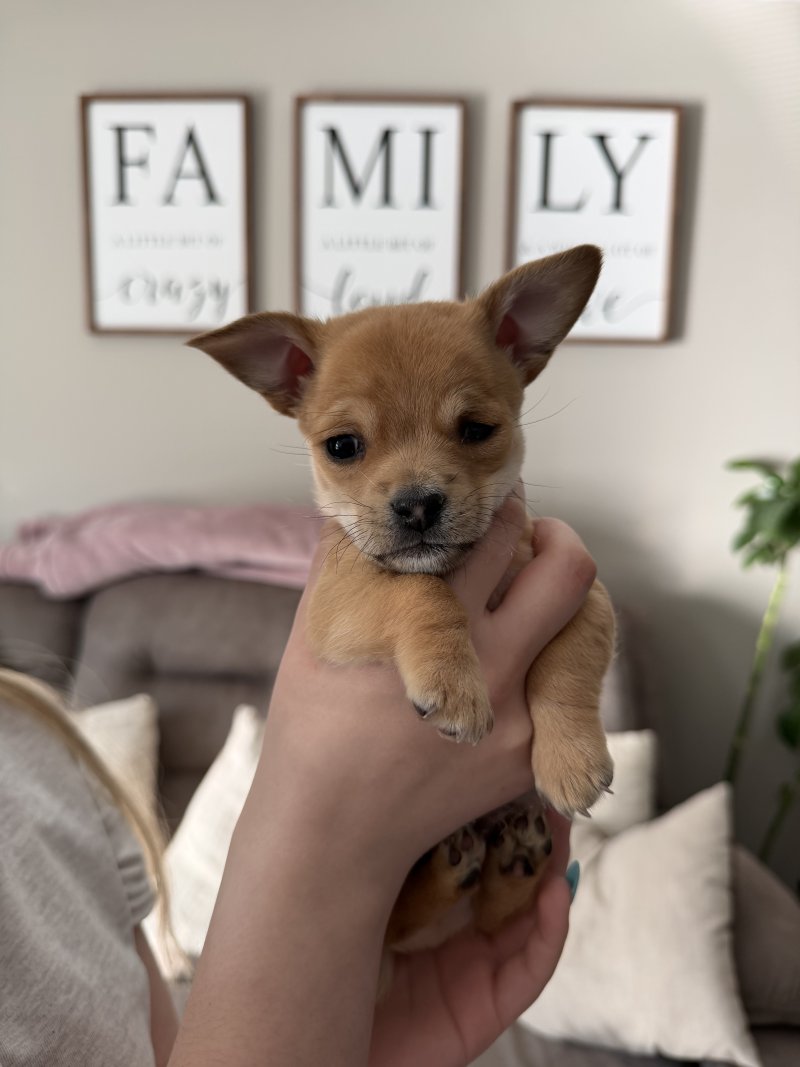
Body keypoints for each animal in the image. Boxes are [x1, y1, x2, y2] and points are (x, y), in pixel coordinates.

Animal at [189, 244, 615, 953]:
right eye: (342, 447)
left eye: (477, 430)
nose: (417, 504)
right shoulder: (341, 606)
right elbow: (419, 591)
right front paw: (453, 683)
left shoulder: (587, 596)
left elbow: (571, 665)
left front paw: (572, 758)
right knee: (409, 915)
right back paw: (457, 866)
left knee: (491, 915)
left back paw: (517, 860)